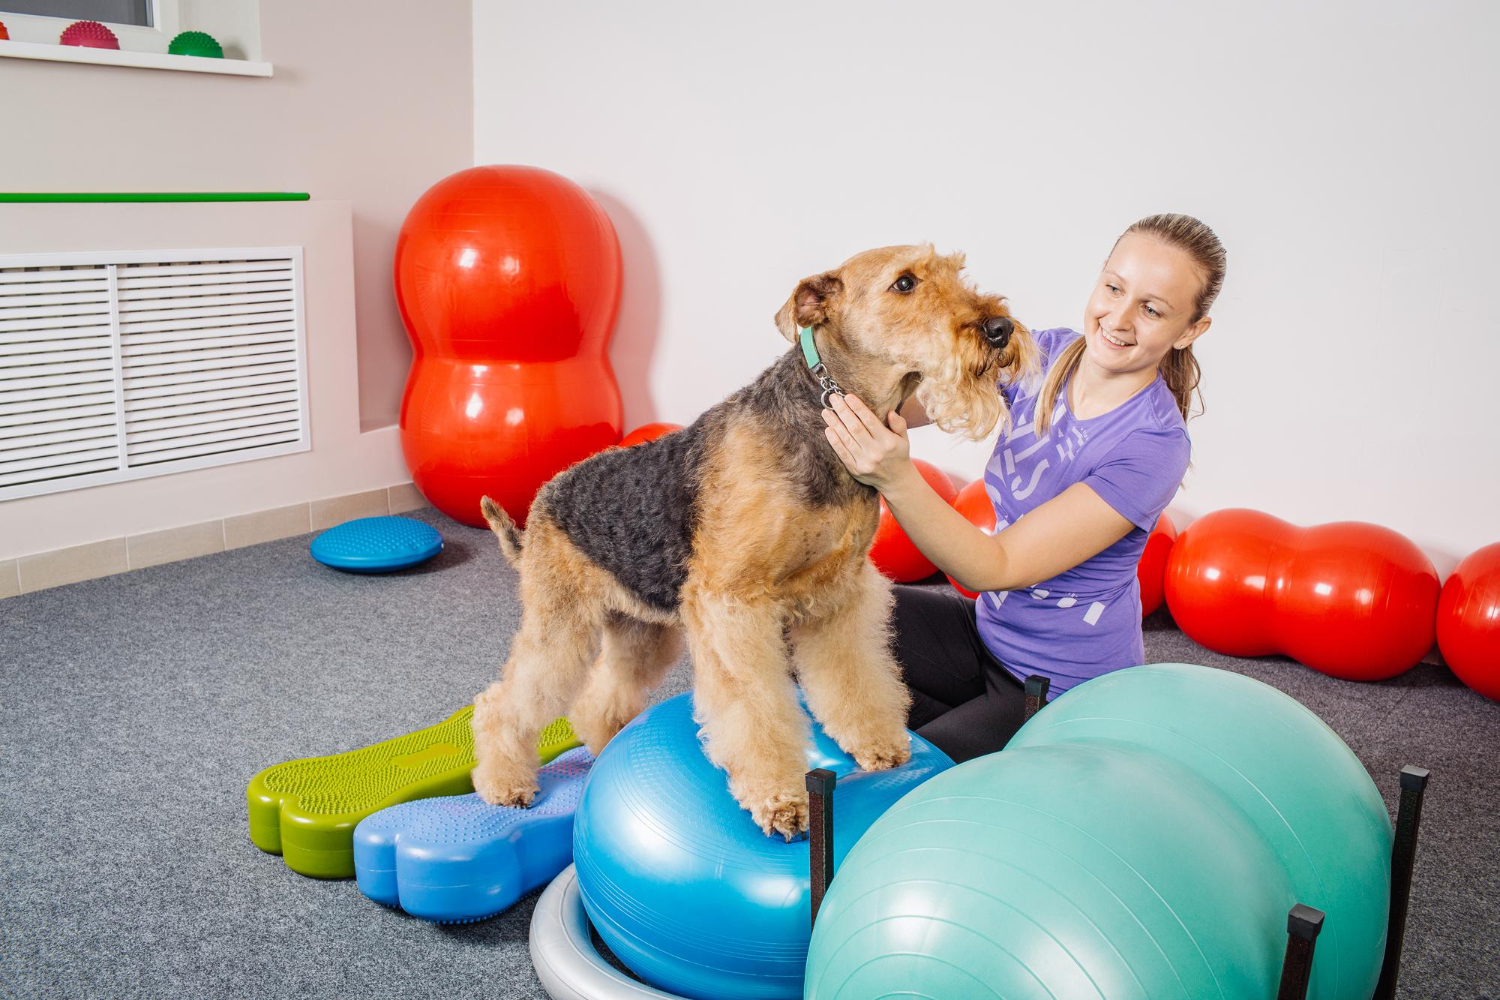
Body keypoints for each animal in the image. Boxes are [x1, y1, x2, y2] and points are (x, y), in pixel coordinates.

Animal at [468, 245, 1032, 839]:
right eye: (904, 283)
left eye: (957, 271)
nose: (999, 329)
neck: (821, 414)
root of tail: (540, 506)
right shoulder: (731, 603)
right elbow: (755, 706)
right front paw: (781, 802)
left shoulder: (837, 596)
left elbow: (853, 677)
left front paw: (878, 744)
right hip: (560, 625)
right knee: (506, 701)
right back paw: (505, 782)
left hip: (642, 629)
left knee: (601, 694)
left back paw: (601, 741)